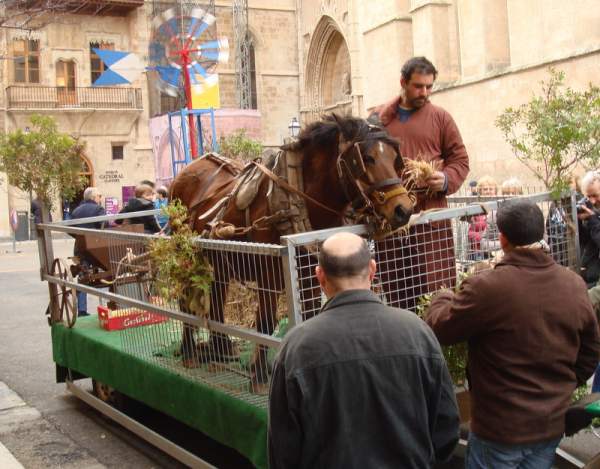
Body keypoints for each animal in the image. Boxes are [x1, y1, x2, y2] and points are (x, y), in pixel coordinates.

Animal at [169, 113, 412, 384]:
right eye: (365, 159)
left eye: (394, 158)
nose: (403, 209)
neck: (297, 199)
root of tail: (185, 172)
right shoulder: (268, 275)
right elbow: (265, 322)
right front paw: (259, 375)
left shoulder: (309, 273)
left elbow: (312, 314)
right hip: (186, 257)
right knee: (185, 301)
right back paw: (189, 352)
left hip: (218, 260)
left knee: (217, 297)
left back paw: (221, 350)